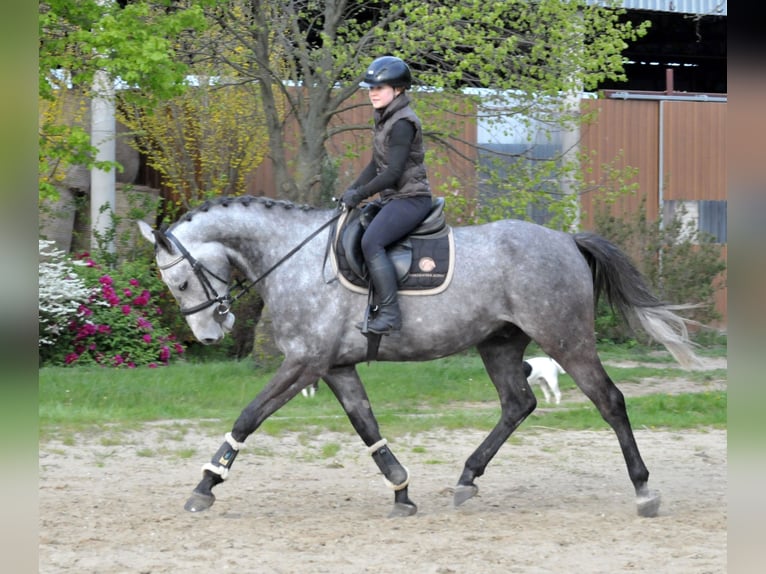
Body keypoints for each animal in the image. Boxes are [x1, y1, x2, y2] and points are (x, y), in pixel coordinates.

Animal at [137, 195, 702, 519]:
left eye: (180, 281)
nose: (211, 334)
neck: (295, 256)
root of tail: (566, 239)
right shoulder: (335, 367)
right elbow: (366, 426)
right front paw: (401, 491)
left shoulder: (304, 363)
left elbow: (248, 417)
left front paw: (206, 484)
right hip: (499, 343)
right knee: (517, 404)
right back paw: (467, 479)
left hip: (566, 339)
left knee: (610, 401)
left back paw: (643, 491)